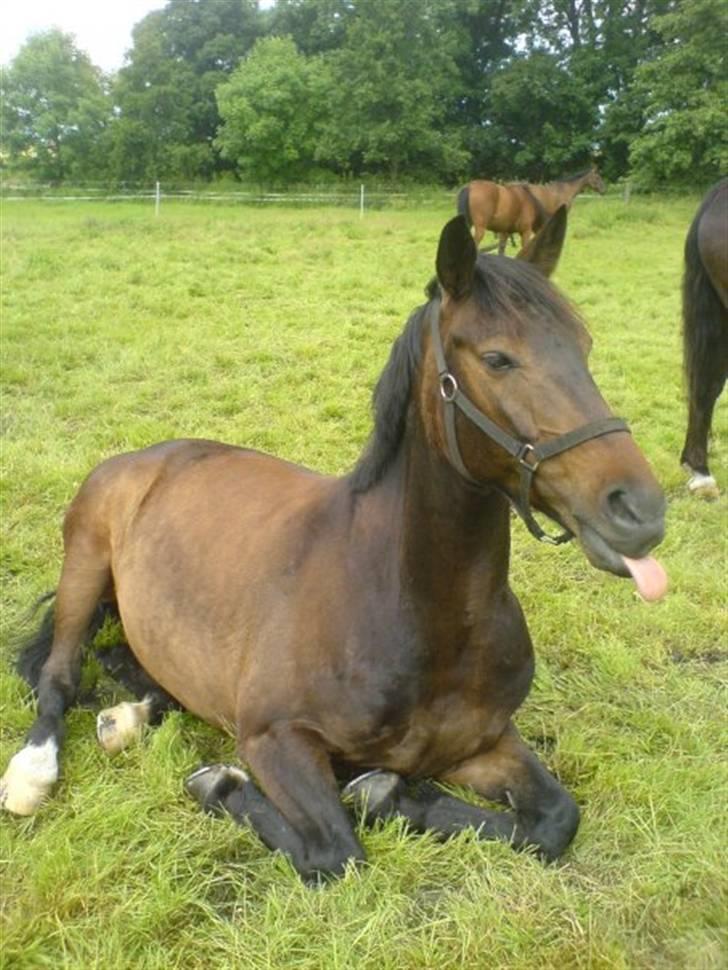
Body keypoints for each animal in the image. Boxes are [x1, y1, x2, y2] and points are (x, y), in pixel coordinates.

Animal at [1, 208, 672, 880]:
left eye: (584, 347)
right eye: (497, 358)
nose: (641, 511)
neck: (414, 615)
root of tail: (145, 457)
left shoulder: (483, 741)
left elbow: (554, 820)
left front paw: (393, 796)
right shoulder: (275, 740)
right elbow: (335, 850)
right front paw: (221, 782)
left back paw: (128, 717)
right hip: (84, 566)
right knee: (59, 674)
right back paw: (32, 772)